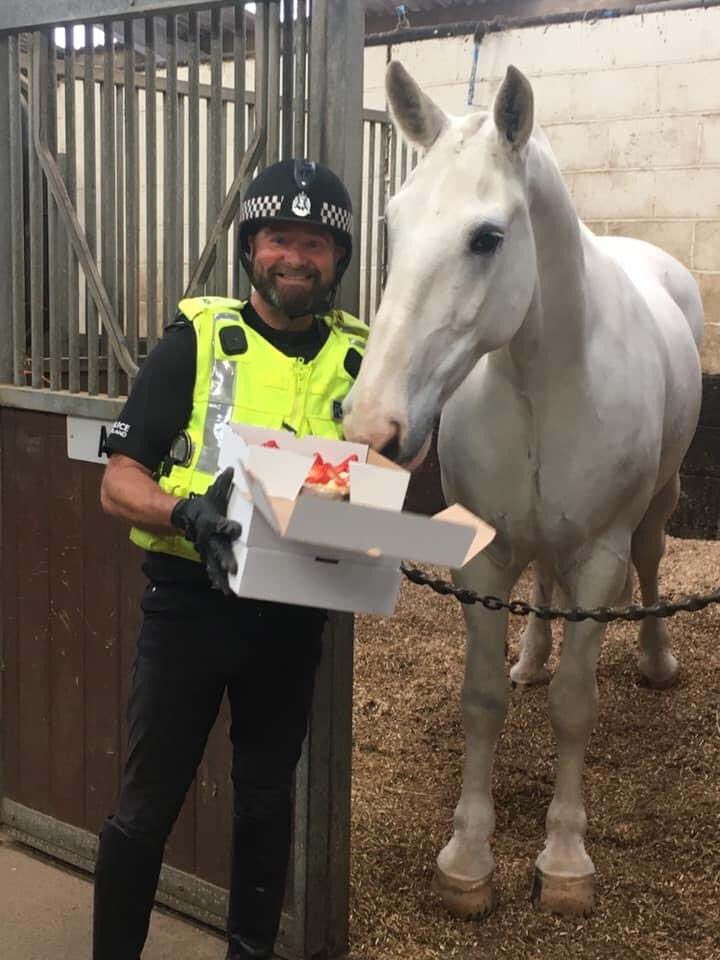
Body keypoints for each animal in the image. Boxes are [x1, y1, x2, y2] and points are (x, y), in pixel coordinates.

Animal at [343, 61, 703, 916]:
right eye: (394, 224)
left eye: (487, 238)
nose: (373, 426)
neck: (545, 376)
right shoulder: (484, 556)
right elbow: (481, 699)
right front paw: (468, 858)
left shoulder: (600, 557)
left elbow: (576, 706)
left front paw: (565, 860)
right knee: (543, 582)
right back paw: (531, 658)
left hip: (655, 506)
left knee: (650, 563)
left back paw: (656, 660)